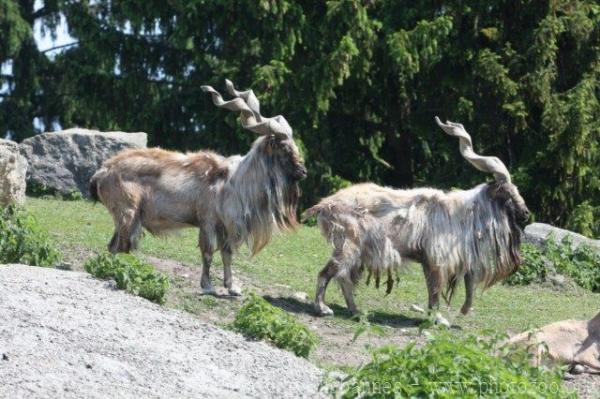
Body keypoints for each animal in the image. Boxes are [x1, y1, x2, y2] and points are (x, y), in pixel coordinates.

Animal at [90, 79, 304, 296]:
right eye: (284, 148)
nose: (303, 172)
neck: (233, 182)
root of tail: (103, 172)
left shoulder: (224, 227)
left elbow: (227, 254)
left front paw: (232, 287)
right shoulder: (207, 221)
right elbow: (208, 253)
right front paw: (208, 286)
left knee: (115, 246)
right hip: (127, 213)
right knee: (117, 246)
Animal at [304, 117, 528, 318]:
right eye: (508, 192)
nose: (526, 213)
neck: (462, 214)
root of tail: (324, 205)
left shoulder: (432, 260)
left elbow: (435, 289)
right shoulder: (436, 259)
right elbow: (435, 290)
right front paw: (438, 319)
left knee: (344, 278)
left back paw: (355, 311)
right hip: (347, 245)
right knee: (329, 273)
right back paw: (323, 309)